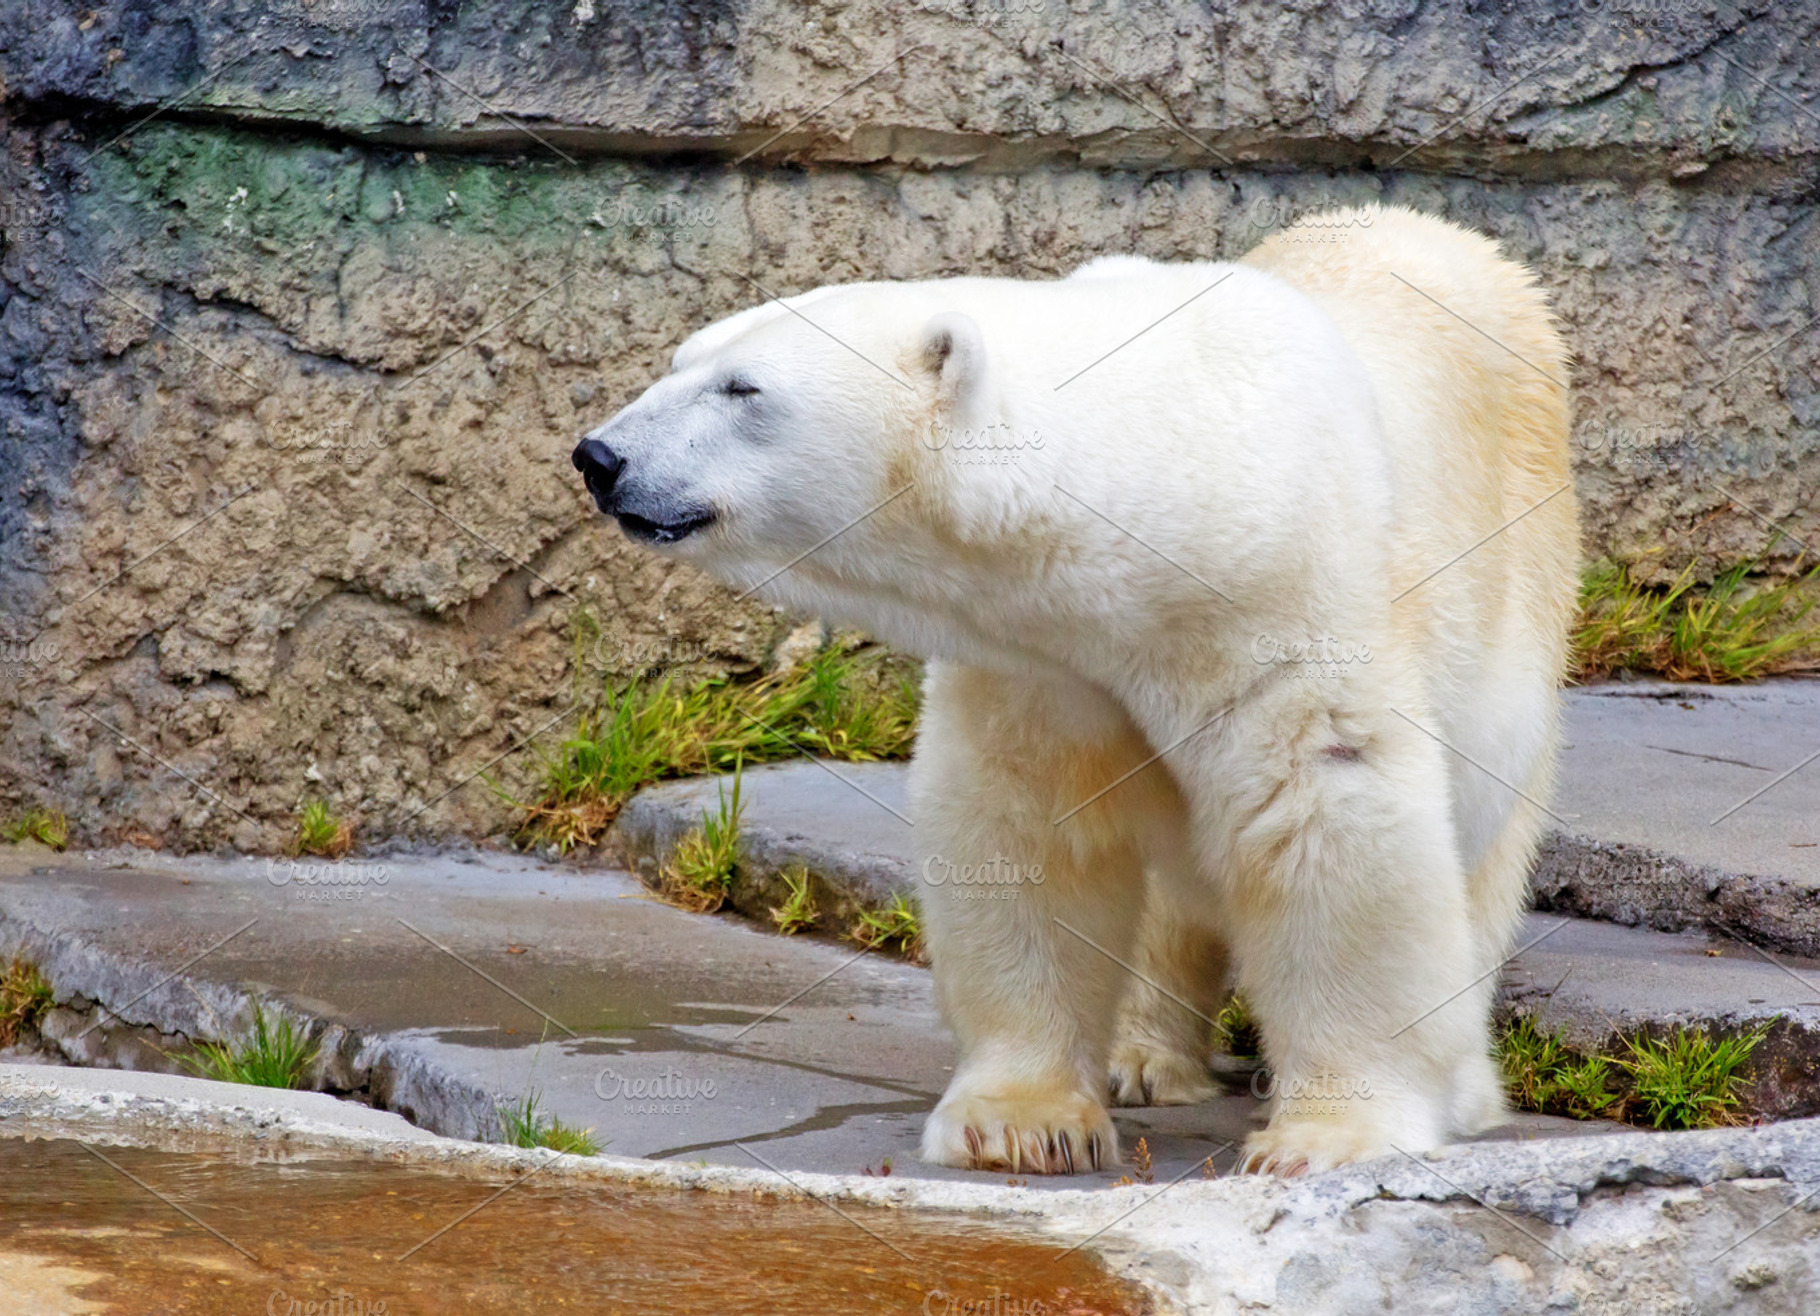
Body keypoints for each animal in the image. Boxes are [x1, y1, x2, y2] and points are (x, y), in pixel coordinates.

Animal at [573, 205, 1579, 1175]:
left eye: (744, 390)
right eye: (681, 362)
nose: (598, 457)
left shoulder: (1288, 602)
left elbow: (1327, 812)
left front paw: (1330, 1138)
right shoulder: (1047, 660)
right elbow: (1028, 831)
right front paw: (1022, 1124)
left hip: (1522, 593)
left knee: (1482, 843)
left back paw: (1464, 1087)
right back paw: (1144, 1057)